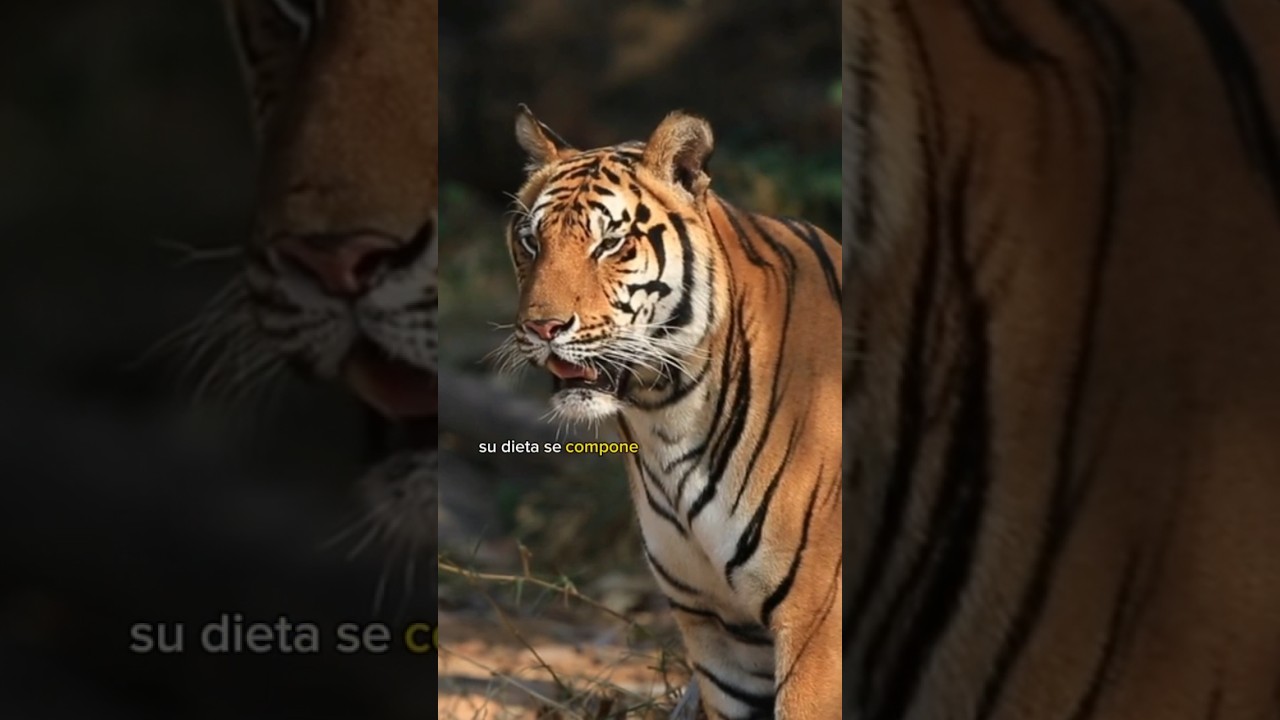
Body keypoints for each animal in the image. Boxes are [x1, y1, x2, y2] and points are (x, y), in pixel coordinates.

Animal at [502, 106, 843, 719]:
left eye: (611, 244)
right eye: (530, 241)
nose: (542, 328)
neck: (668, 418)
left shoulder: (815, 622)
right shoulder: (719, 631)